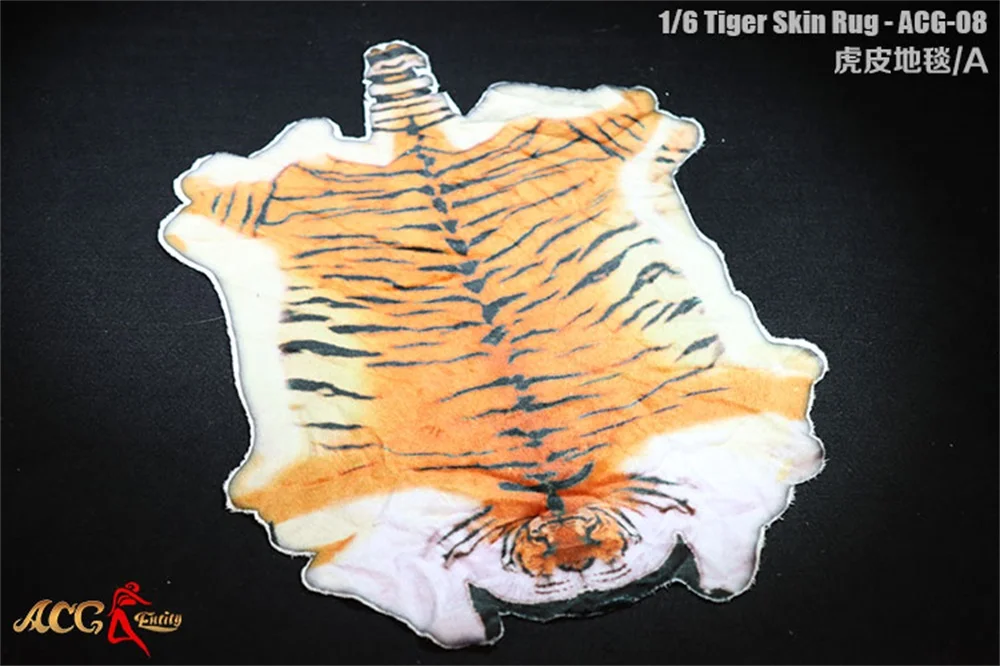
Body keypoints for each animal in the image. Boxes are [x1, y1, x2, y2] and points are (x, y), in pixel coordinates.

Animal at [158, 40, 827, 648]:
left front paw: (723, 577)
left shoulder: (731, 440)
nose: (577, 566)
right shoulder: (369, 531)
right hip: (268, 205)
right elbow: (432, 593)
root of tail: (420, 140)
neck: (551, 489)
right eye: (535, 550)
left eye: (596, 538)